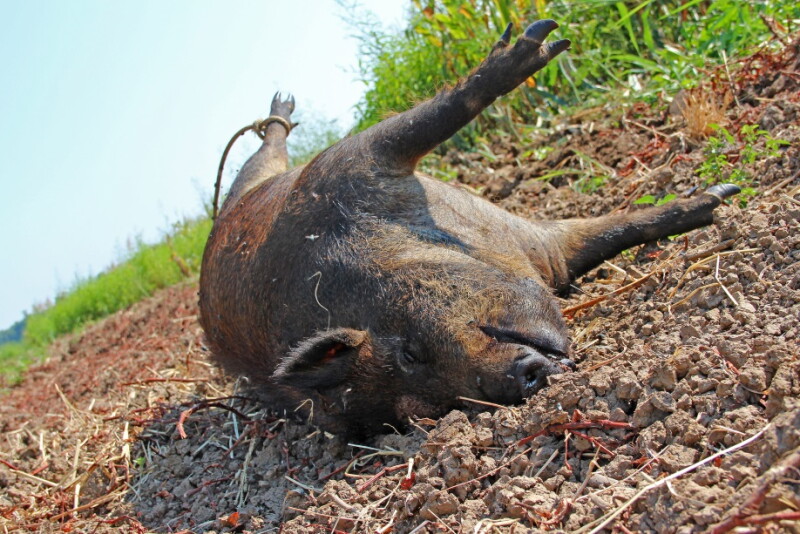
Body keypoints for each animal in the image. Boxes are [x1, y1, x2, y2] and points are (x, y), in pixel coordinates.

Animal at [199, 20, 739, 436]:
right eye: (434, 408)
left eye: (411, 351)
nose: (518, 381)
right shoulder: (549, 252)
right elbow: (606, 230)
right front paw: (719, 198)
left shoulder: (350, 163)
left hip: (258, 180)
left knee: (267, 146)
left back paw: (282, 104)